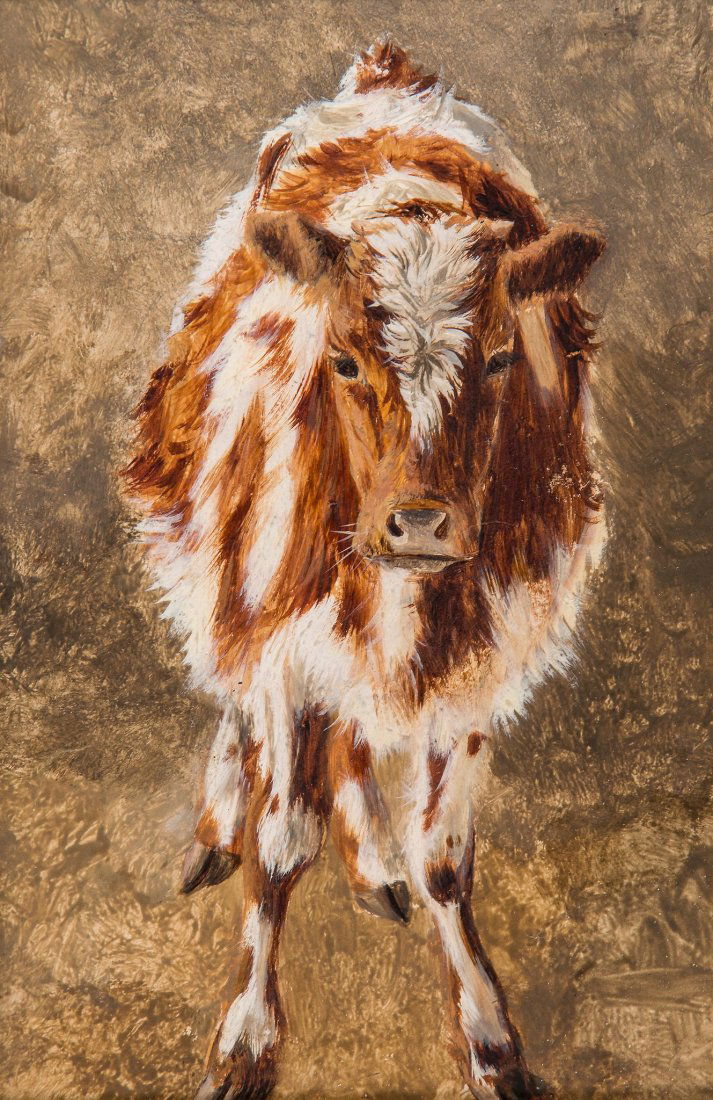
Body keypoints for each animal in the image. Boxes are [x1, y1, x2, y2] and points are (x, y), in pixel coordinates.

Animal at [123, 40, 606, 1100]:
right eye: (343, 361)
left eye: (501, 358)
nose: (419, 522)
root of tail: (389, 75)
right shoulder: (278, 636)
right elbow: (276, 849)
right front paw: (246, 1037)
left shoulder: (480, 653)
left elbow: (446, 860)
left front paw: (489, 1037)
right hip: (228, 568)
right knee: (236, 700)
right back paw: (220, 817)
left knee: (347, 741)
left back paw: (372, 858)